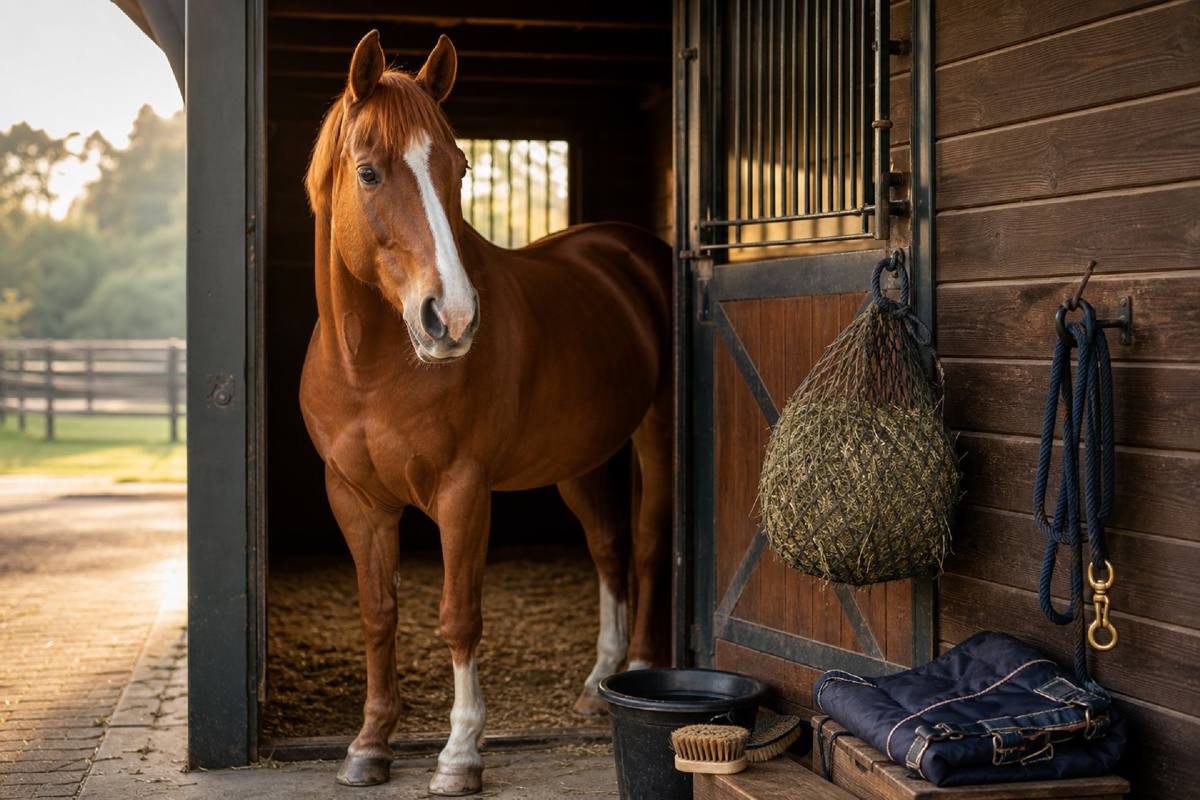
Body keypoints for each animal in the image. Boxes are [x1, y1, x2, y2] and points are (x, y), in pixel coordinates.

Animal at [299, 31, 674, 796]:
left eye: (460, 165)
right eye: (369, 172)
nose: (453, 318)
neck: (365, 370)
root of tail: (633, 249)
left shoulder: (462, 492)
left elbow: (458, 617)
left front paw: (460, 753)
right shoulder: (355, 498)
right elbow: (378, 613)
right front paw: (369, 744)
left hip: (656, 431)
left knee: (649, 543)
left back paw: (641, 669)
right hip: (578, 459)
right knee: (609, 548)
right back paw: (598, 684)